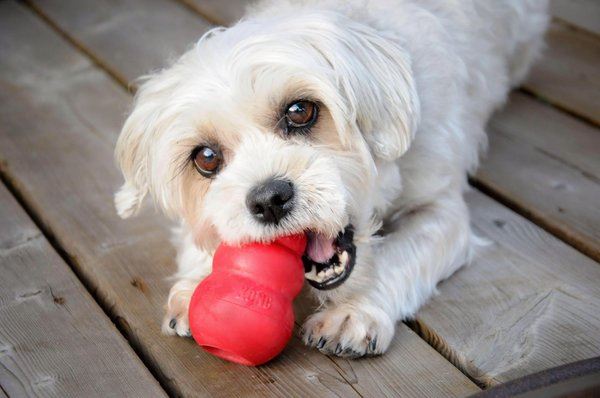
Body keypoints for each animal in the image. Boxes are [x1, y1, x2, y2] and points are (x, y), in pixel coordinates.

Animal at [113, 0, 548, 356]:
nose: (269, 200)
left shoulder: (441, 209)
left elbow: (397, 256)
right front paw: (197, 282)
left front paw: (352, 313)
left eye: (300, 110)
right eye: (206, 158)